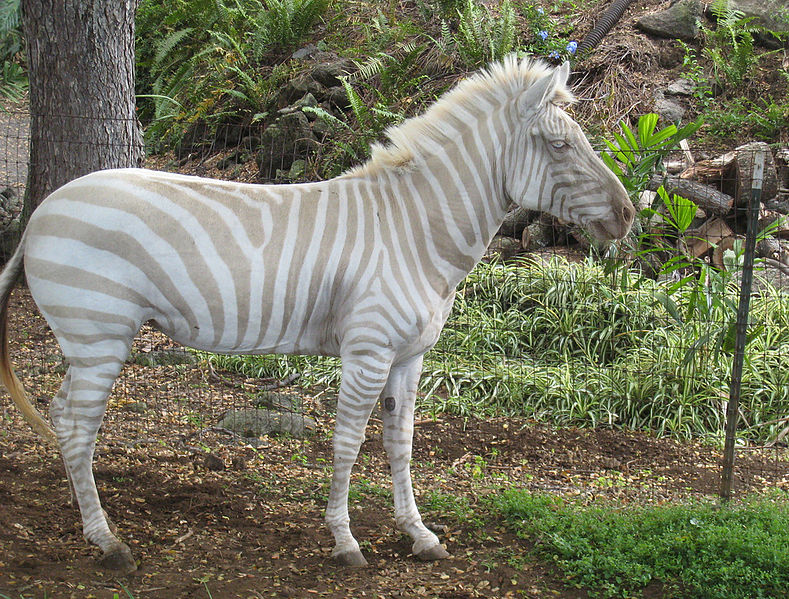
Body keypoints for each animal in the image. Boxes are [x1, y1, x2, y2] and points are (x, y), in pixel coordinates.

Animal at [0, 56, 634, 574]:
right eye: (560, 147)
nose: (629, 216)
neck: (413, 231)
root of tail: (41, 212)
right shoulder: (368, 349)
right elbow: (349, 443)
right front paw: (345, 541)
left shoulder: (409, 357)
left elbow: (401, 442)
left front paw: (419, 535)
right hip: (99, 336)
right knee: (77, 425)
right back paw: (107, 542)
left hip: (85, 343)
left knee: (61, 417)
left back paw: (85, 517)